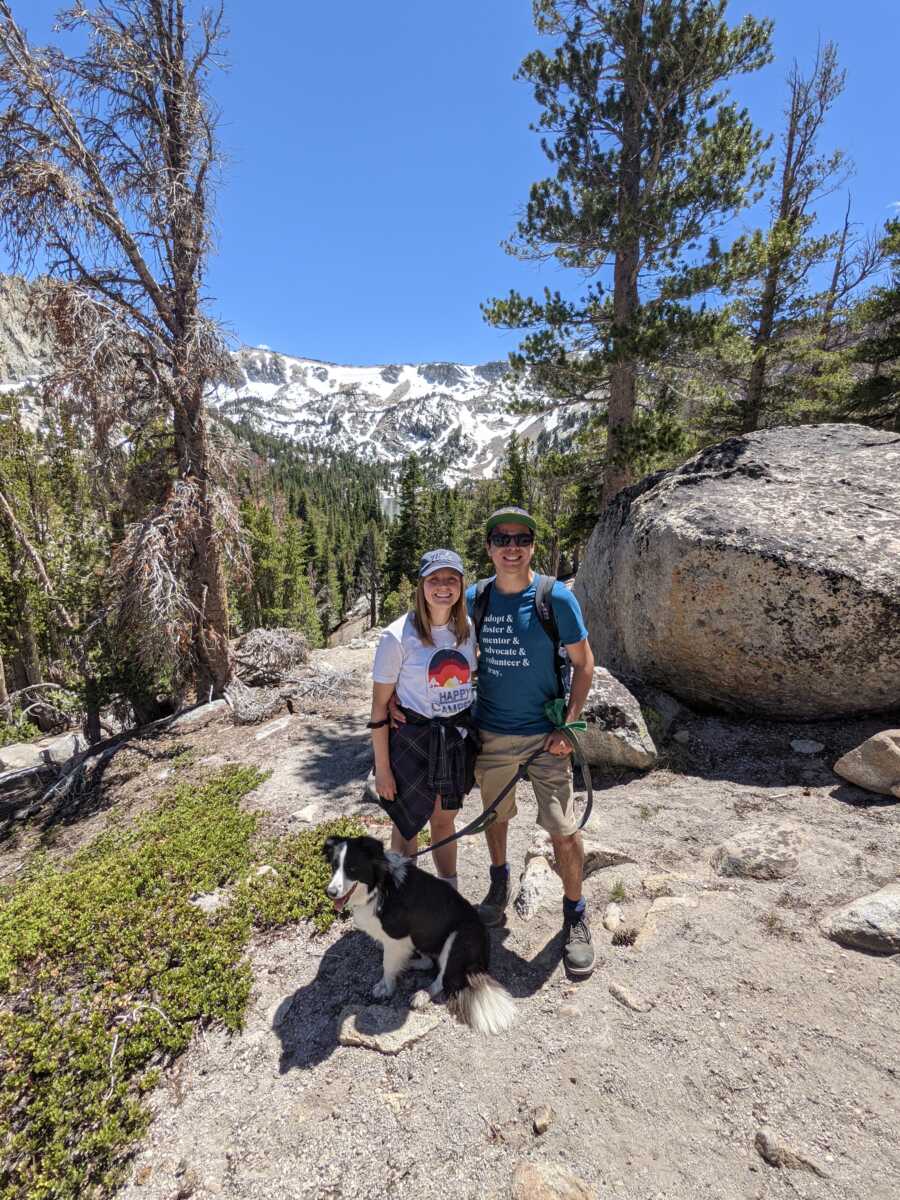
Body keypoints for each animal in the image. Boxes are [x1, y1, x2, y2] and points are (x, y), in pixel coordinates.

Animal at [324, 840, 513, 1036]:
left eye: (352, 868)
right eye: (334, 866)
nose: (330, 892)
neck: (380, 885)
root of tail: (479, 966)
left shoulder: (397, 937)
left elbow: (387, 966)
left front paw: (386, 988)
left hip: (458, 938)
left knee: (442, 979)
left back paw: (422, 994)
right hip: (422, 936)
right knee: (429, 963)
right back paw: (408, 964)